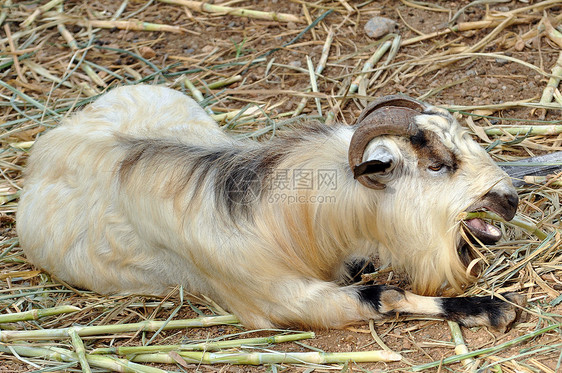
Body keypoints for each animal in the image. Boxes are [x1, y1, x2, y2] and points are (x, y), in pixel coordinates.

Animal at [18, 83, 524, 328]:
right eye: (437, 165)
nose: (509, 200)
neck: (283, 218)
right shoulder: (280, 300)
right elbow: (387, 295)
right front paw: (490, 310)